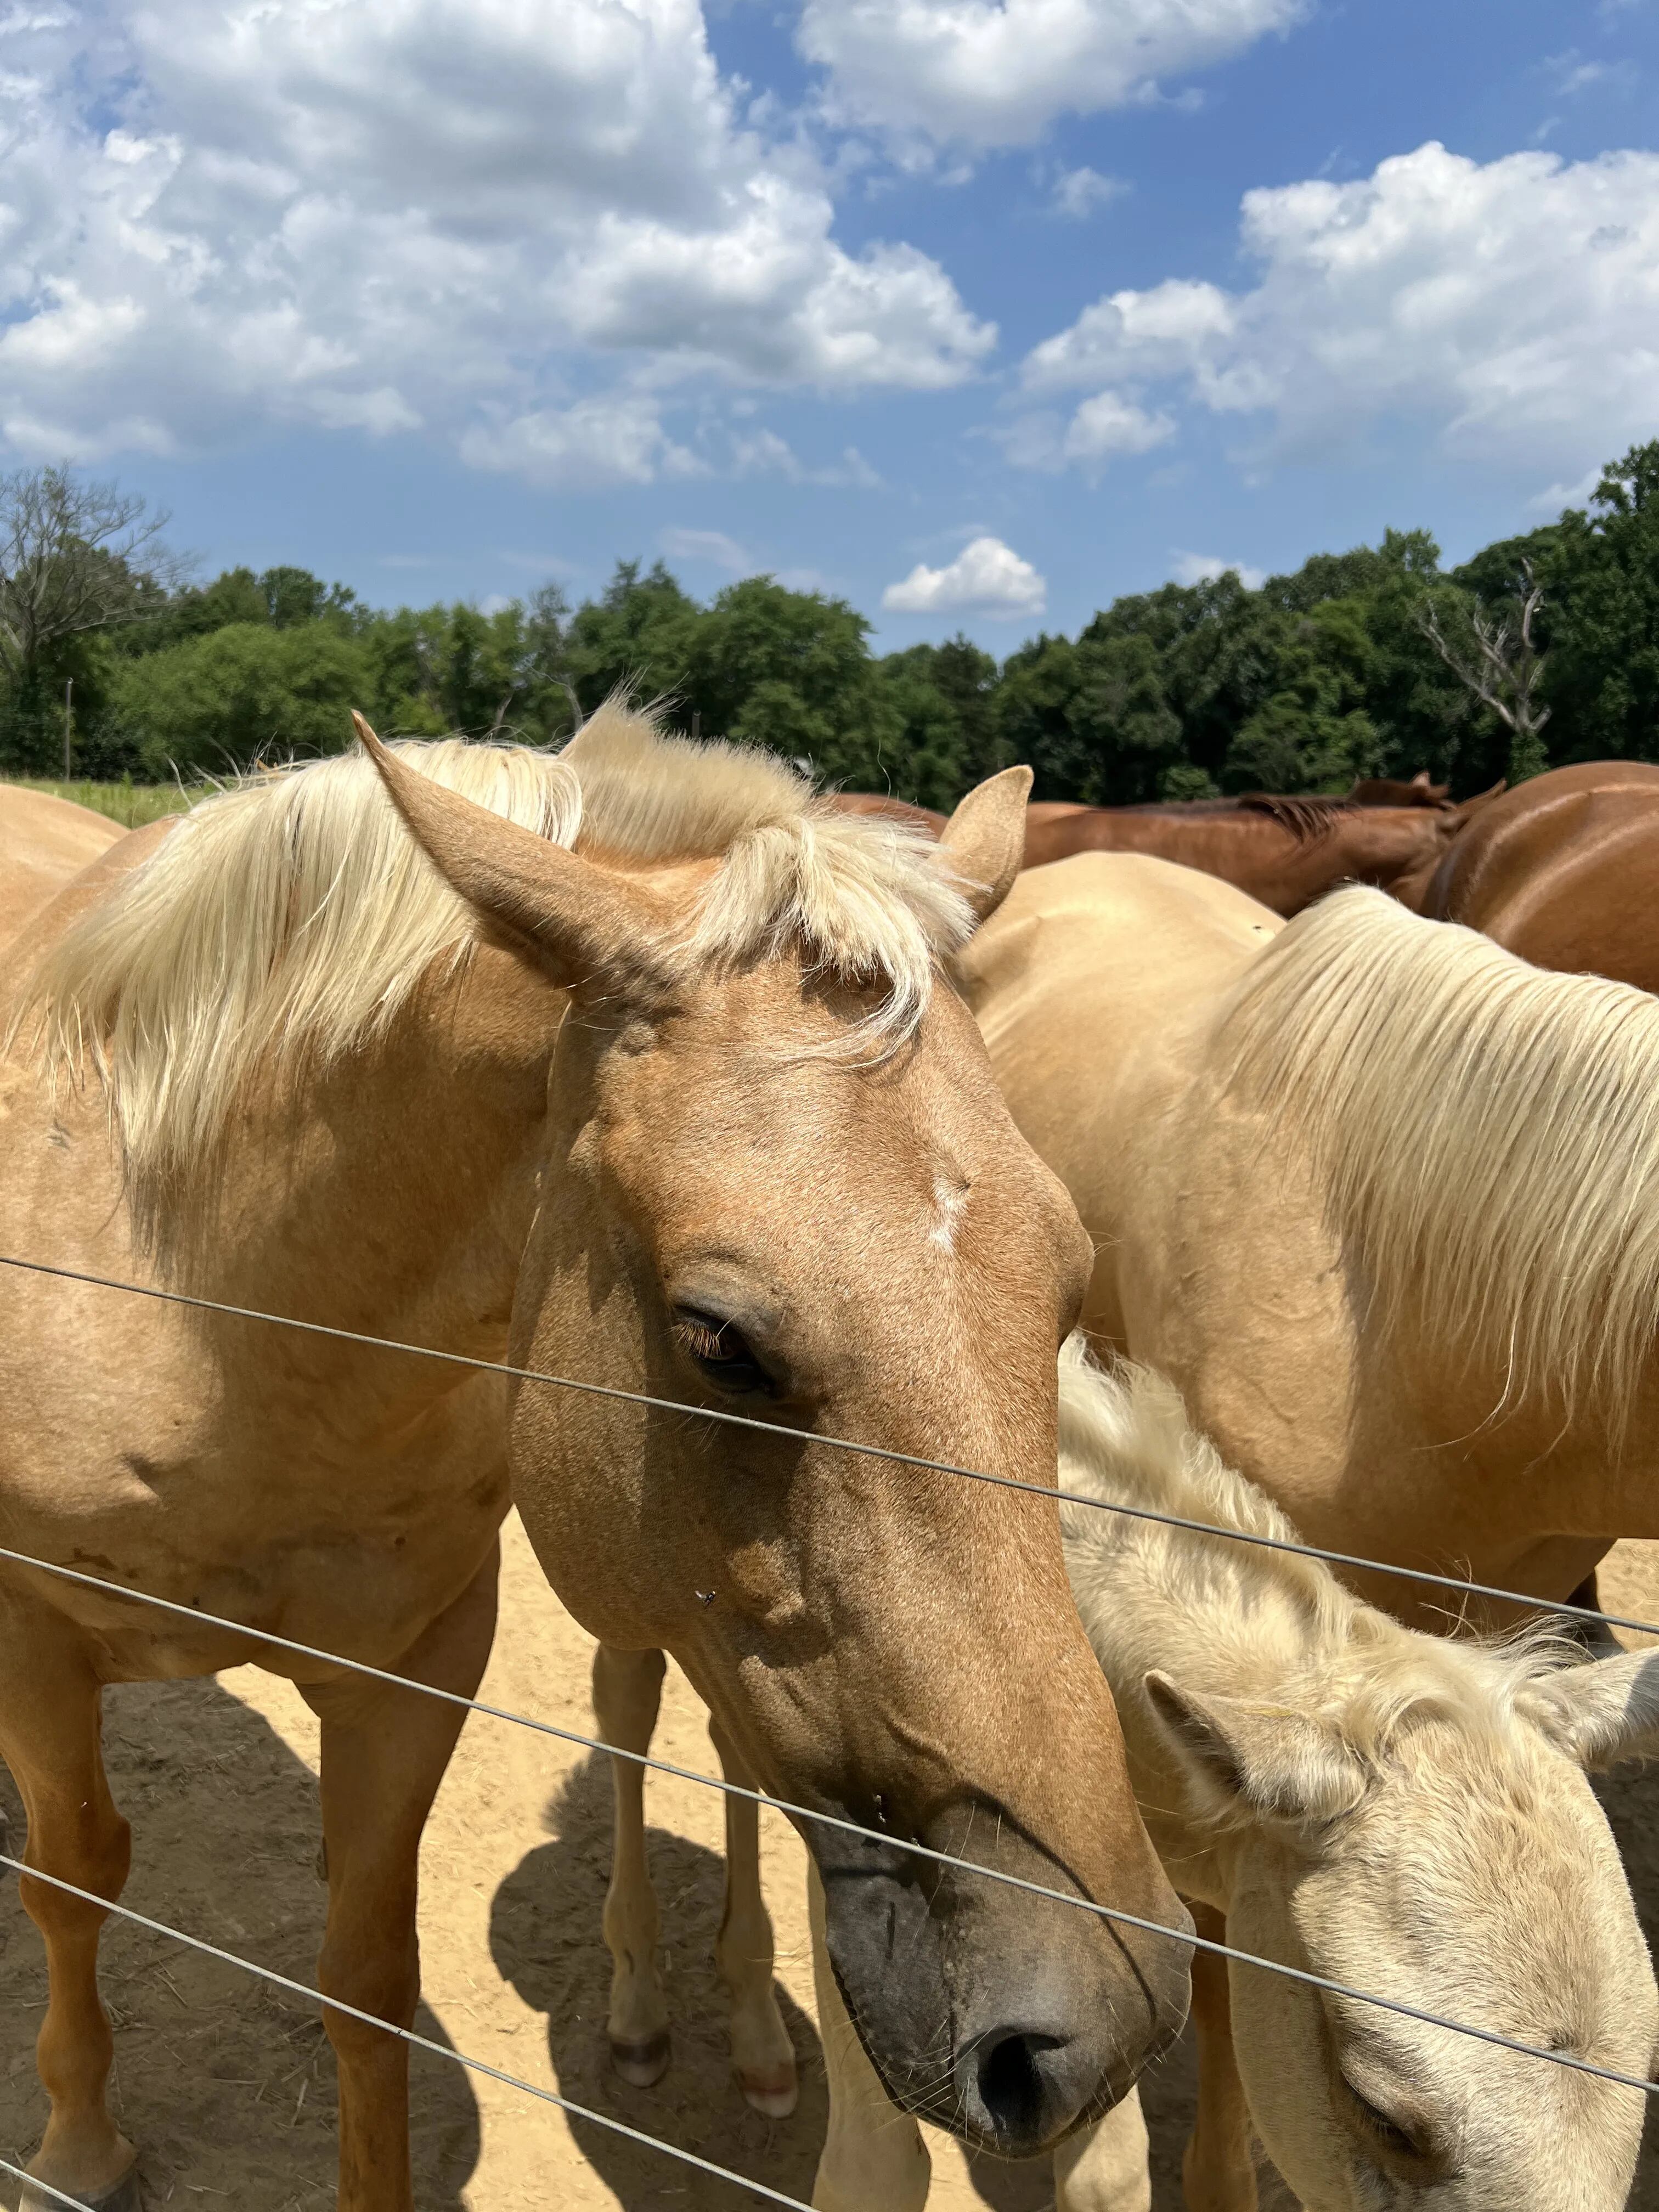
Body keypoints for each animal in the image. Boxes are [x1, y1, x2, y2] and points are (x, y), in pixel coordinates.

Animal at [0, 708, 1194, 2212]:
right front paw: (77, 2144)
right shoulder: (33, 1645)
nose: (1107, 2017)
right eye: (718, 1339)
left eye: (1067, 1278)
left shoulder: (417, 1665)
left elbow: (367, 1982)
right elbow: (73, 1878)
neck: (199, 1302)